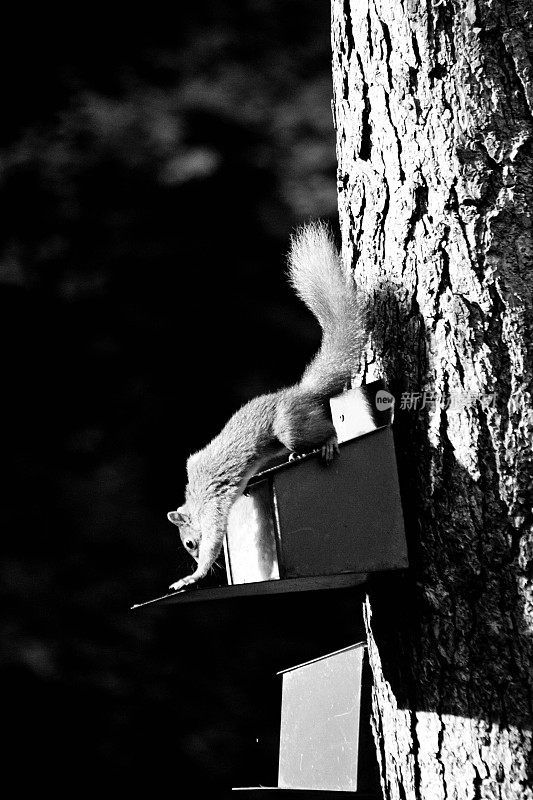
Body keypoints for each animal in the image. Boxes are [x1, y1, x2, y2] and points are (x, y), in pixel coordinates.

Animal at [166, 222, 366, 592]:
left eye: (189, 543)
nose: (192, 558)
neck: (196, 498)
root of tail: (300, 392)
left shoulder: (213, 507)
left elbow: (214, 539)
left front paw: (193, 576)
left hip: (289, 425)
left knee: (326, 428)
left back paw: (328, 444)